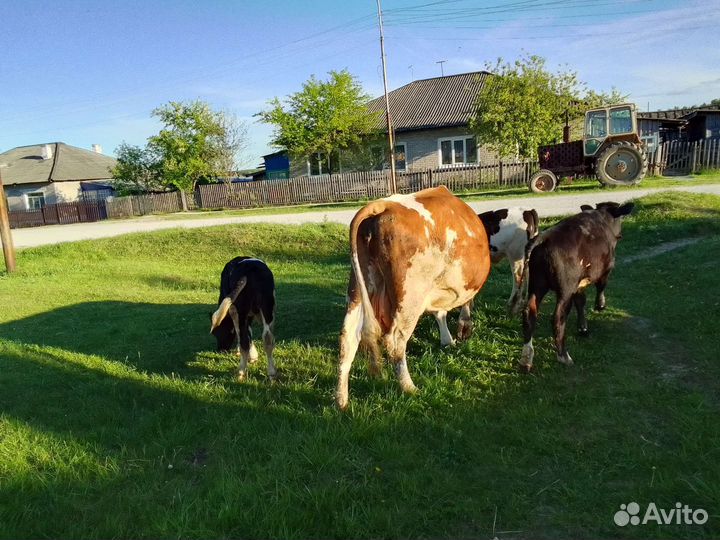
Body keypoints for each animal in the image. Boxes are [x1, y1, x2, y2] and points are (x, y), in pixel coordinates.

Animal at [336, 186, 492, 409]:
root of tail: (382, 205)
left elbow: (440, 313)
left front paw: (447, 339)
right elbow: (463, 307)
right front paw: (461, 330)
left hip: (358, 289)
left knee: (348, 338)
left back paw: (341, 400)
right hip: (410, 297)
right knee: (395, 341)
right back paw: (409, 387)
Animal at [519, 201, 634, 370]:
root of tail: (543, 238)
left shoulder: (578, 285)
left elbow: (580, 301)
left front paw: (583, 328)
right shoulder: (606, 268)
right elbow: (601, 287)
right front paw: (600, 305)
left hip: (536, 285)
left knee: (529, 313)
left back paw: (526, 360)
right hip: (564, 289)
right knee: (558, 318)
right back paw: (564, 356)